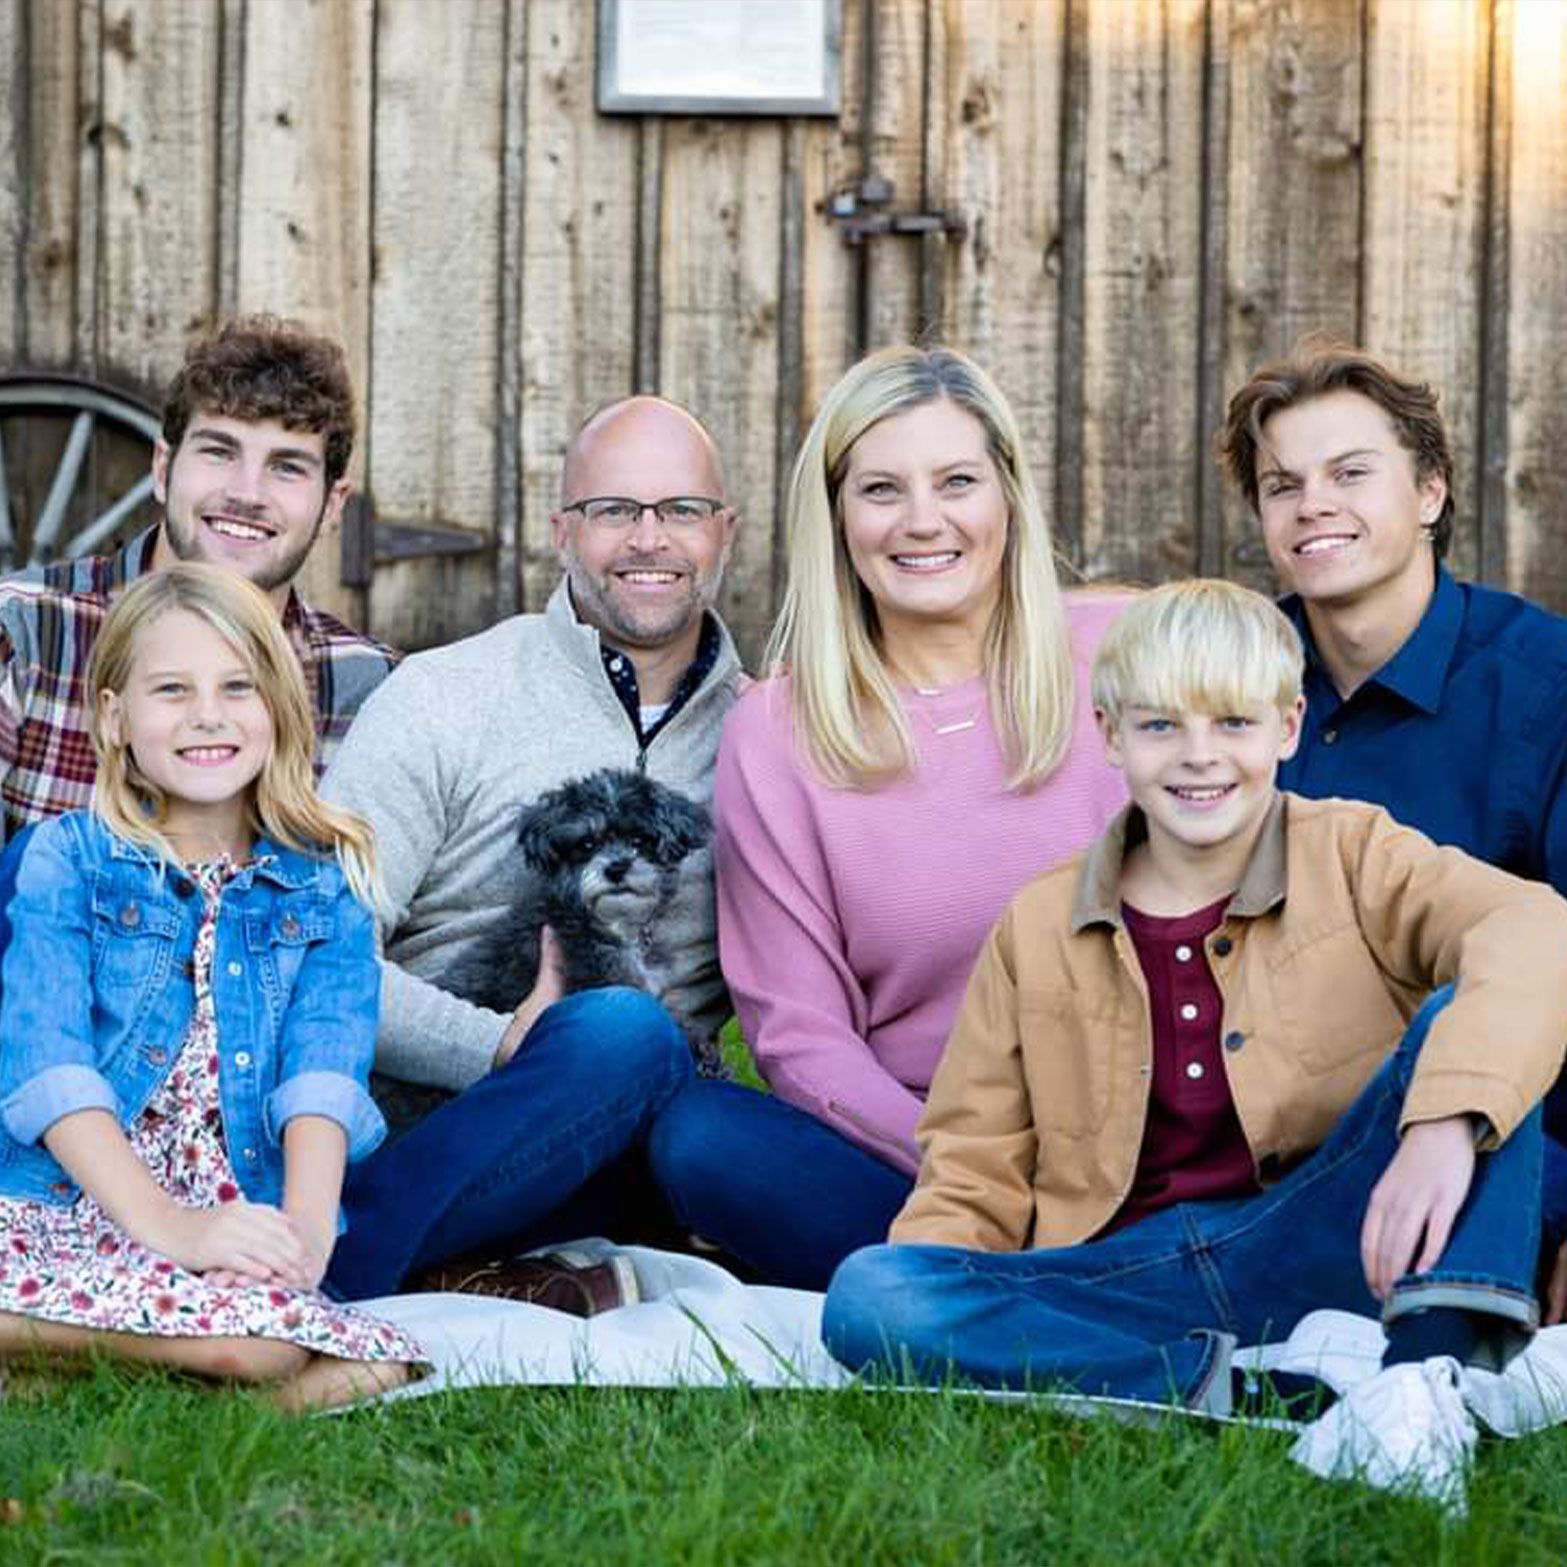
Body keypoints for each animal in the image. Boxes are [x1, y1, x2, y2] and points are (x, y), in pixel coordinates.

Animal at [441, 767, 720, 1078]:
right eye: (587, 844)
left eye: (638, 840)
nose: (616, 868)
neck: (613, 927)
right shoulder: (602, 976)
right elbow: (668, 1018)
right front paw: (700, 1052)